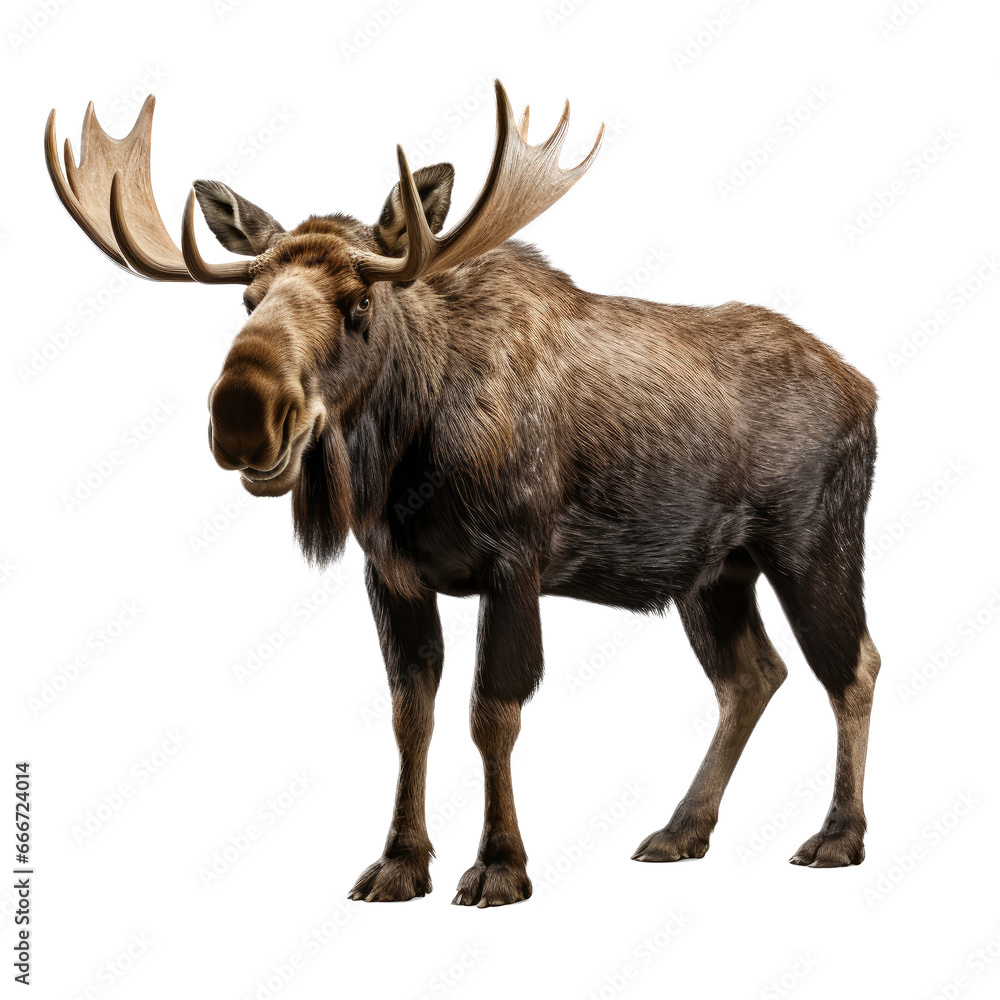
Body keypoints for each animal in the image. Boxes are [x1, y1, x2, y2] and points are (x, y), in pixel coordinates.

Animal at [45, 82, 881, 907]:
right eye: (248, 299)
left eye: (359, 303)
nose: (244, 416)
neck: (403, 460)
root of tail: (866, 389)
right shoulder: (393, 575)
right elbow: (410, 715)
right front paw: (400, 862)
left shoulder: (512, 565)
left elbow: (493, 713)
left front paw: (501, 866)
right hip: (713, 573)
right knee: (752, 676)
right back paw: (682, 830)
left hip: (813, 543)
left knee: (853, 666)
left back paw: (838, 837)